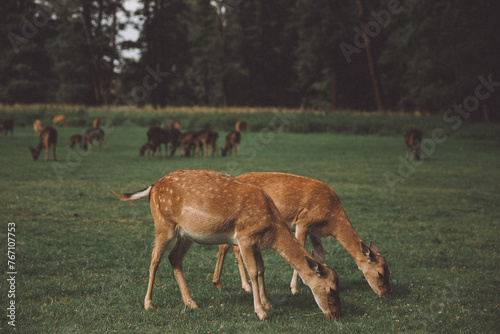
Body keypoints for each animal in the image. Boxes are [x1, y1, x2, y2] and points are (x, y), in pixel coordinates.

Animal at [113, 170, 340, 320]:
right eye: (331, 290)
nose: (335, 316)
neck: (271, 228)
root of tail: (153, 187)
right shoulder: (245, 237)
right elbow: (253, 271)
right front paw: (261, 312)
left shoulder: (256, 242)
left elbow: (262, 270)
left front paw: (268, 304)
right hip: (163, 223)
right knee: (154, 259)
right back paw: (148, 303)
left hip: (185, 234)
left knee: (174, 257)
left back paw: (191, 303)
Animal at [211, 172, 390, 298]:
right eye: (380, 273)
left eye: (389, 271)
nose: (386, 295)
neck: (331, 220)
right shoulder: (304, 221)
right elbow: (303, 248)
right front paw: (294, 288)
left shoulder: (315, 231)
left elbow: (320, 254)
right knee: (224, 246)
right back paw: (224, 283)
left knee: (232, 248)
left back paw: (236, 284)